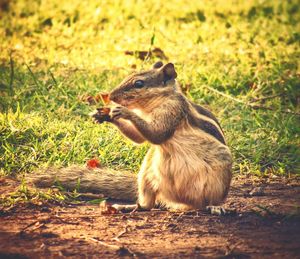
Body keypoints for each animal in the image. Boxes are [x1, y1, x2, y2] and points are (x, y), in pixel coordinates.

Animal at [29, 62, 232, 212]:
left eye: (139, 84)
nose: (111, 96)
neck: (152, 105)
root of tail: (183, 202)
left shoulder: (172, 110)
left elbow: (157, 134)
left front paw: (124, 112)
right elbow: (140, 139)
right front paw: (105, 115)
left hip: (217, 181)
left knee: (210, 201)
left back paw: (215, 207)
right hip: (147, 174)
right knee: (147, 205)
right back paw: (128, 207)